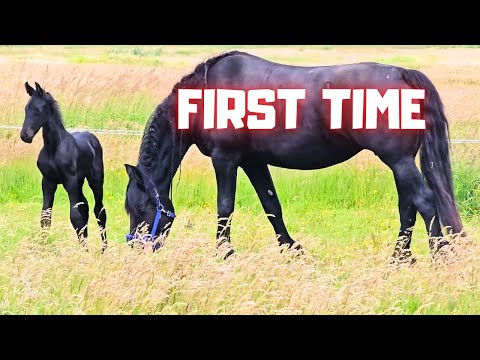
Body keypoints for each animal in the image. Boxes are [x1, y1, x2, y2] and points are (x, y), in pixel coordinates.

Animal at [20, 82, 107, 250]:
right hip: (79, 182)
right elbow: (45, 216)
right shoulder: (48, 182)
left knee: (99, 210)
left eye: (38, 110)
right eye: (26, 108)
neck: (53, 148)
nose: (25, 136)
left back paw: (104, 249)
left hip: (95, 181)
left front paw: (83, 251)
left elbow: (75, 217)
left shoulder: (69, 180)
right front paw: (44, 246)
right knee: (85, 207)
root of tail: (92, 137)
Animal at [124, 50, 462, 258]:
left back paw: (439, 256)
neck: (207, 95)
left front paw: (224, 253)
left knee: (424, 202)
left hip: (398, 161)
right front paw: (291, 250)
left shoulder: (226, 159)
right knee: (408, 207)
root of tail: (404, 74)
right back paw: (399, 259)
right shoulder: (253, 162)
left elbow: (224, 207)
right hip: (399, 163)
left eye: (139, 209)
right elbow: (272, 205)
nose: (137, 249)